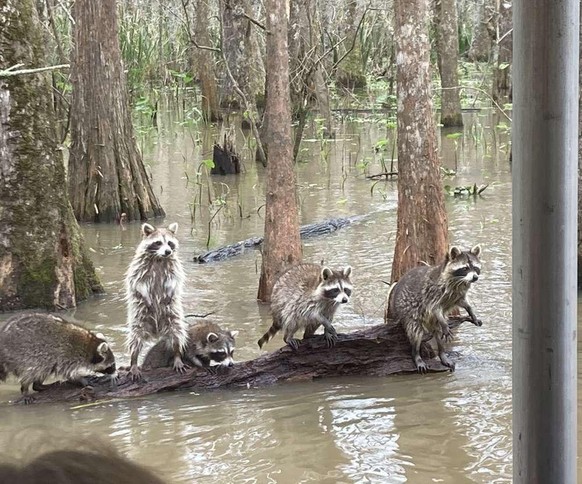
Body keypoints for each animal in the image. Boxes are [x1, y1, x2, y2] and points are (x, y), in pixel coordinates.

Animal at [125, 221, 189, 380]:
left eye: (170, 243)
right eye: (158, 242)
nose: (168, 251)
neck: (159, 258)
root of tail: (156, 331)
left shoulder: (174, 266)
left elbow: (175, 280)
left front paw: (170, 291)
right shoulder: (138, 266)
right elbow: (137, 282)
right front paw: (146, 296)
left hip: (172, 314)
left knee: (177, 333)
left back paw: (177, 355)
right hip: (139, 318)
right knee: (135, 339)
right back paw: (133, 361)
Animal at [388, 246, 484, 374]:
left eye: (475, 268)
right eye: (465, 268)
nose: (475, 277)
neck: (458, 281)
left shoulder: (457, 295)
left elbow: (463, 303)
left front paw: (472, 313)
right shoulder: (433, 292)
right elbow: (435, 309)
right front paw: (445, 323)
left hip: (433, 323)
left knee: (438, 334)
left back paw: (442, 353)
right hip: (408, 313)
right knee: (416, 334)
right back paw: (416, 354)